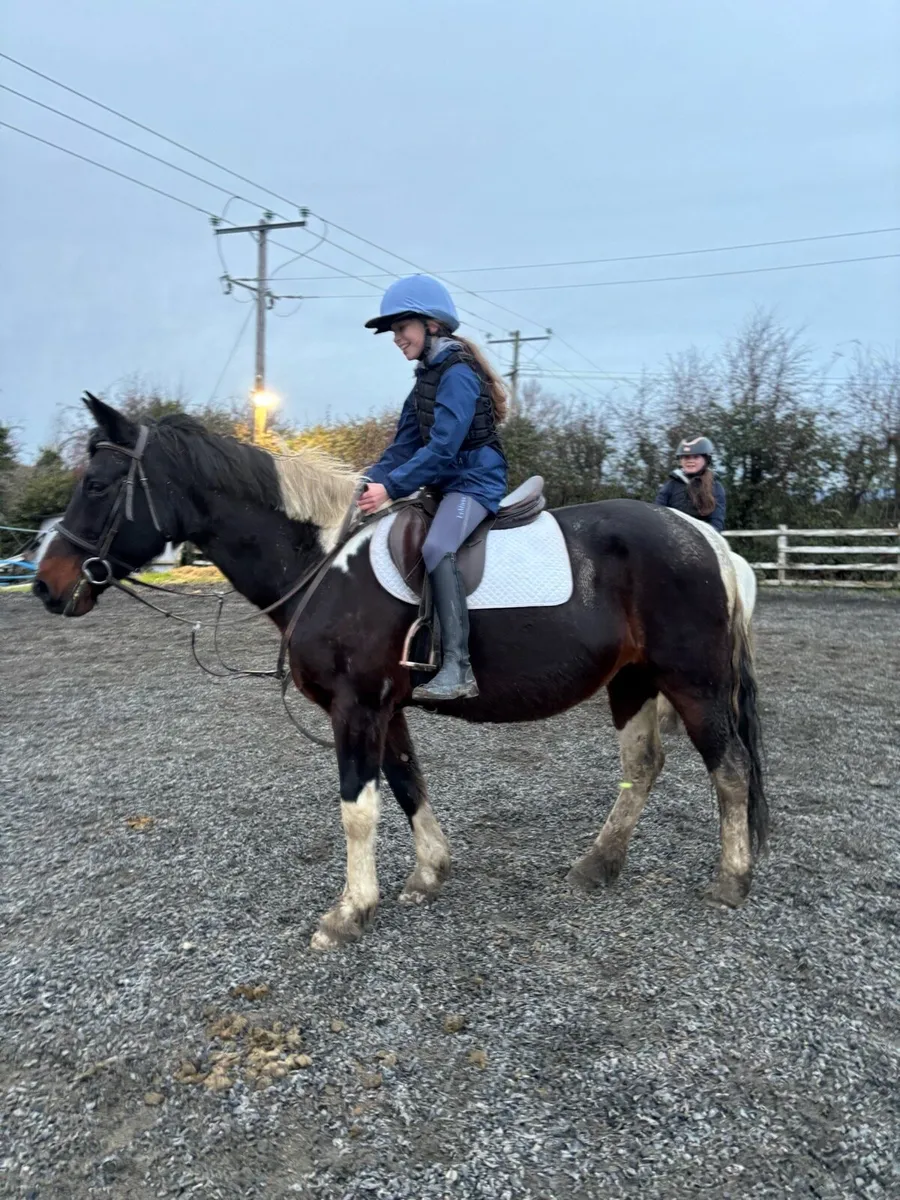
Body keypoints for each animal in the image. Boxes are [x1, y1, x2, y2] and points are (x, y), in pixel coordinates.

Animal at [34, 396, 768, 951]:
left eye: (97, 486)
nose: (46, 586)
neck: (323, 563)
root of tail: (705, 538)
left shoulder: (356, 707)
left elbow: (357, 808)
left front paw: (350, 911)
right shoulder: (385, 709)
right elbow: (407, 780)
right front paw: (428, 874)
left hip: (694, 682)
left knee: (729, 768)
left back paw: (731, 880)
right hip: (634, 680)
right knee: (643, 767)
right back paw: (599, 865)